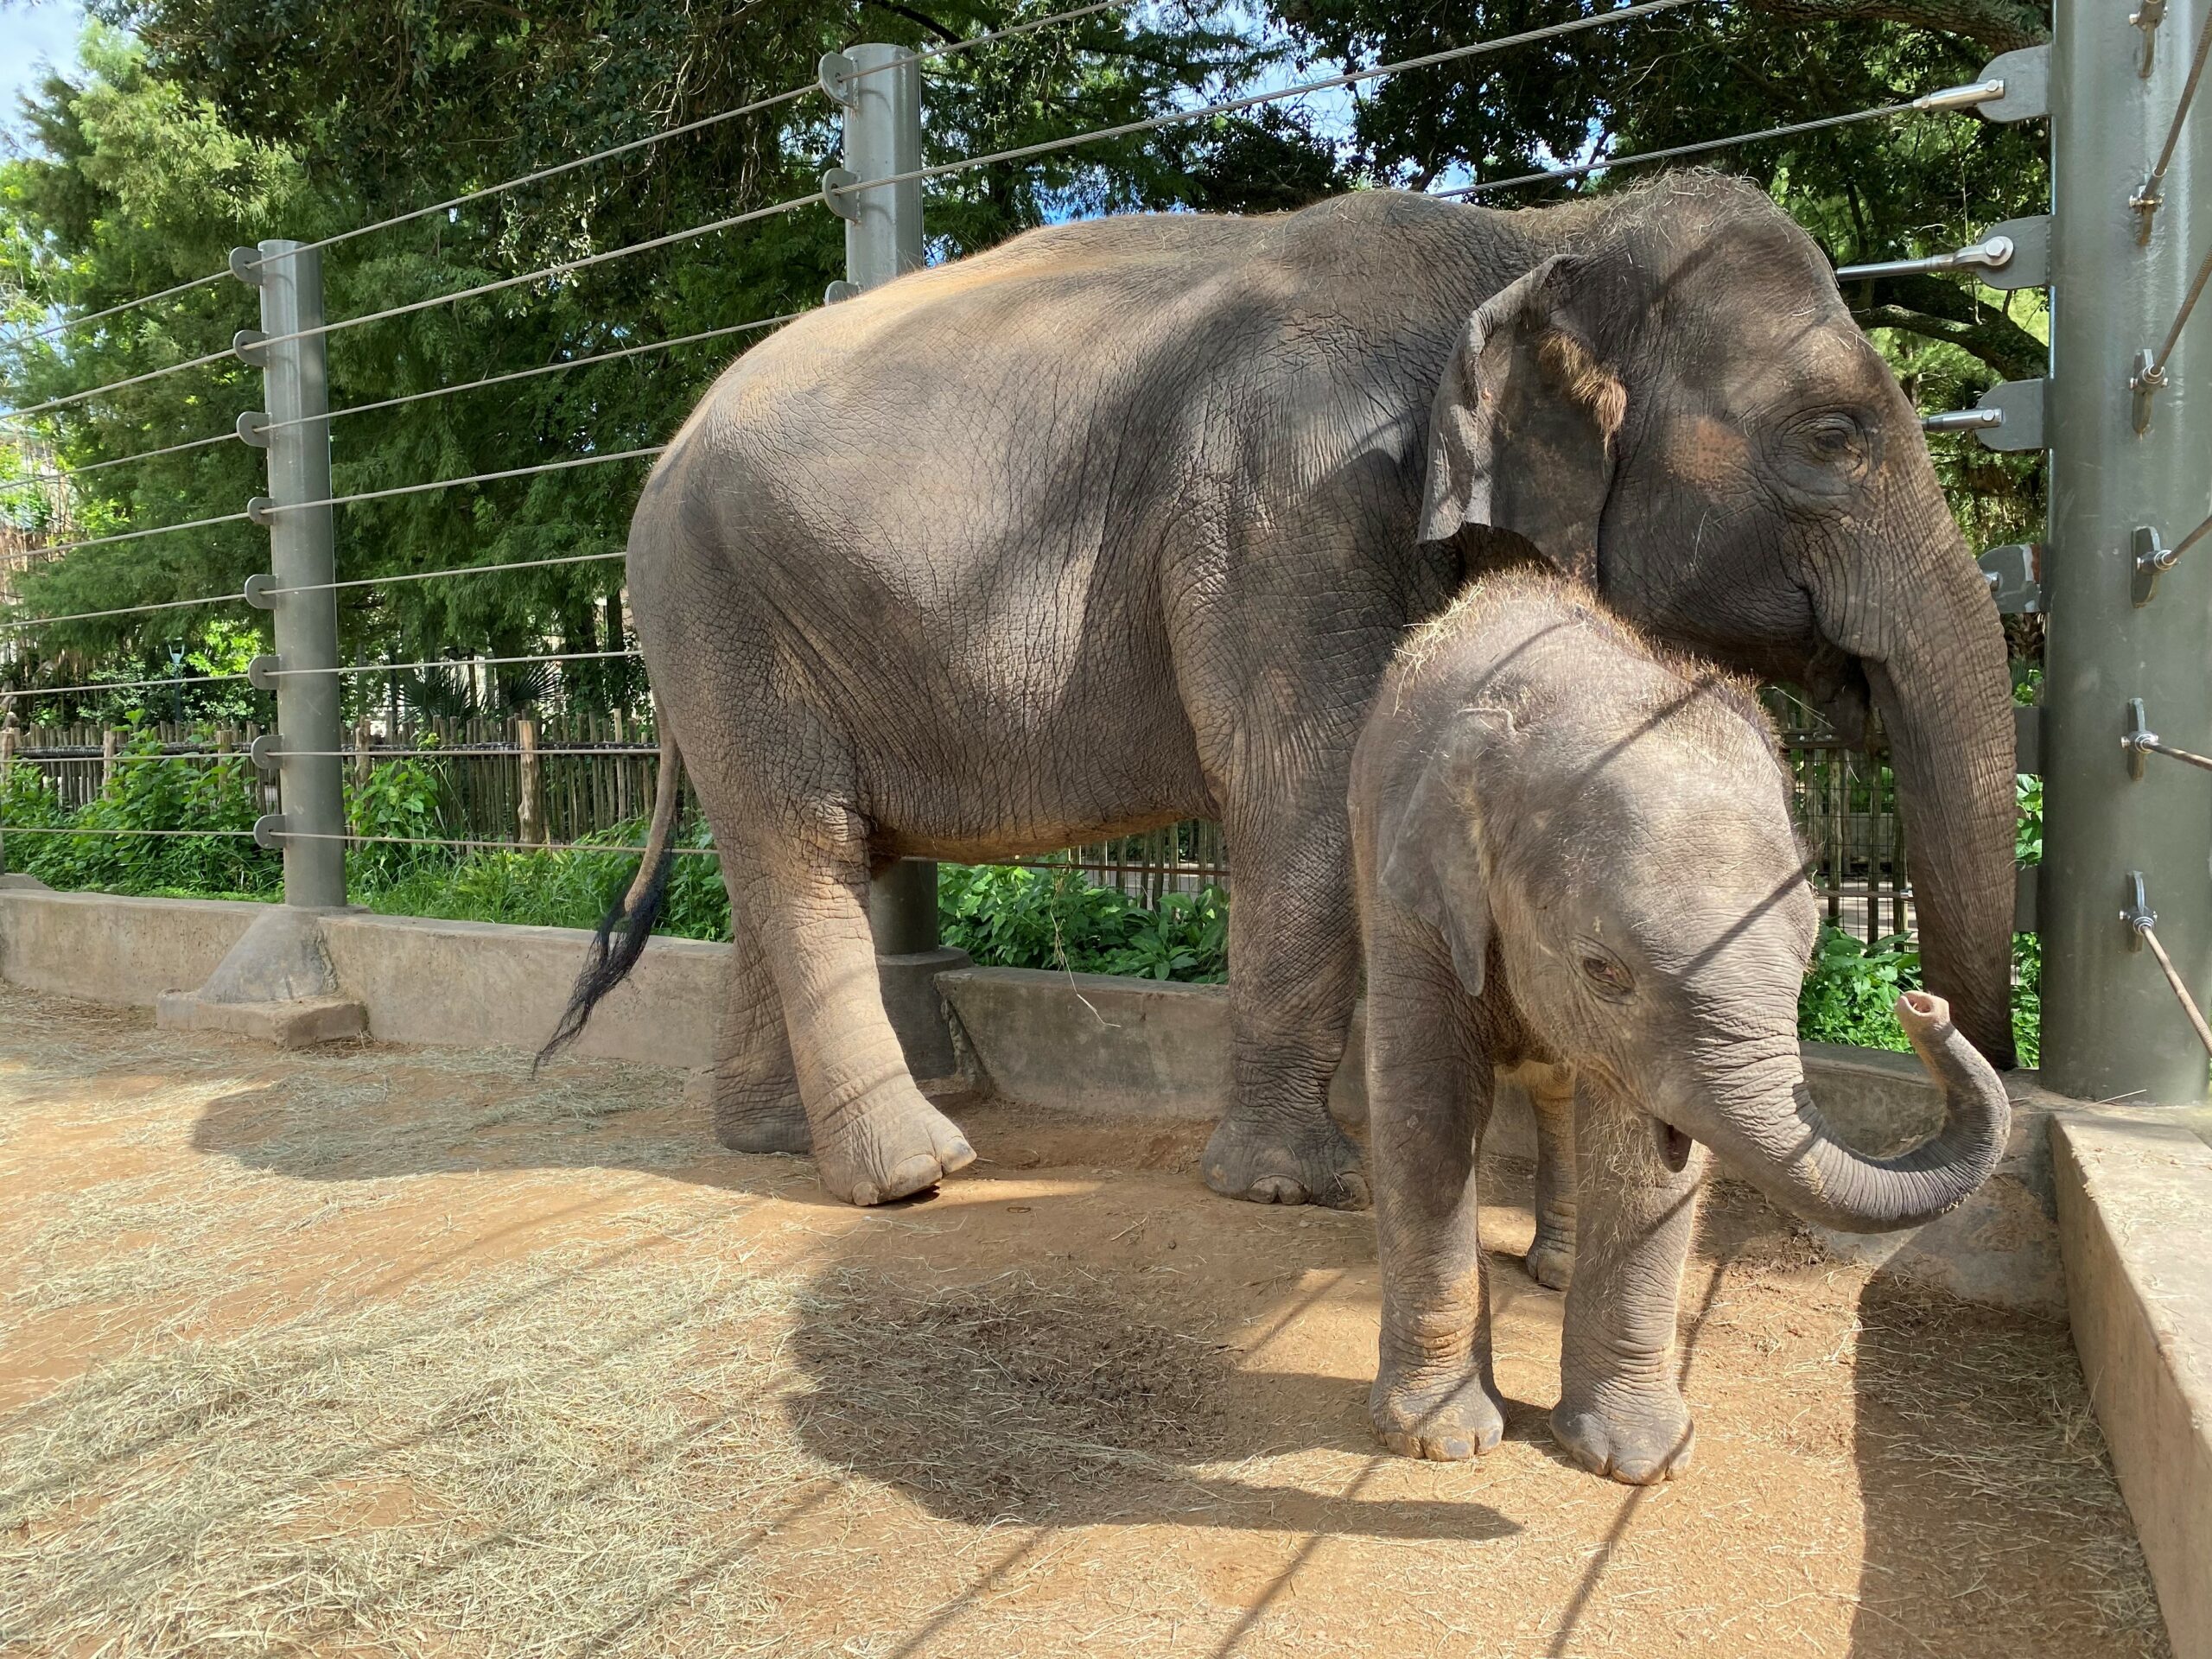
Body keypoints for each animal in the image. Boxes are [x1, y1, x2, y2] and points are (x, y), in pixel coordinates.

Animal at [543, 175, 2017, 1211]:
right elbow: (1305, 790)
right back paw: (911, 1175)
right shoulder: (1291, 497)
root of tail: (664, 451)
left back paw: (767, 1140)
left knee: (795, 860)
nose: (1931, 1016)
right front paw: (1295, 1188)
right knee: (804, 854)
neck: (1535, 232)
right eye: (1833, 435)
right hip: (723, 609)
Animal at [1336, 570, 2017, 1478]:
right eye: (1603, 970)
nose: (1922, 1004)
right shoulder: (1405, 889)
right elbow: (1427, 1107)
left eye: (1808, 956)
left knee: (1563, 1090)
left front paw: (1638, 1464)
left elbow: (1644, 1156)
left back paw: (1555, 1272)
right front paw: (1442, 1443)